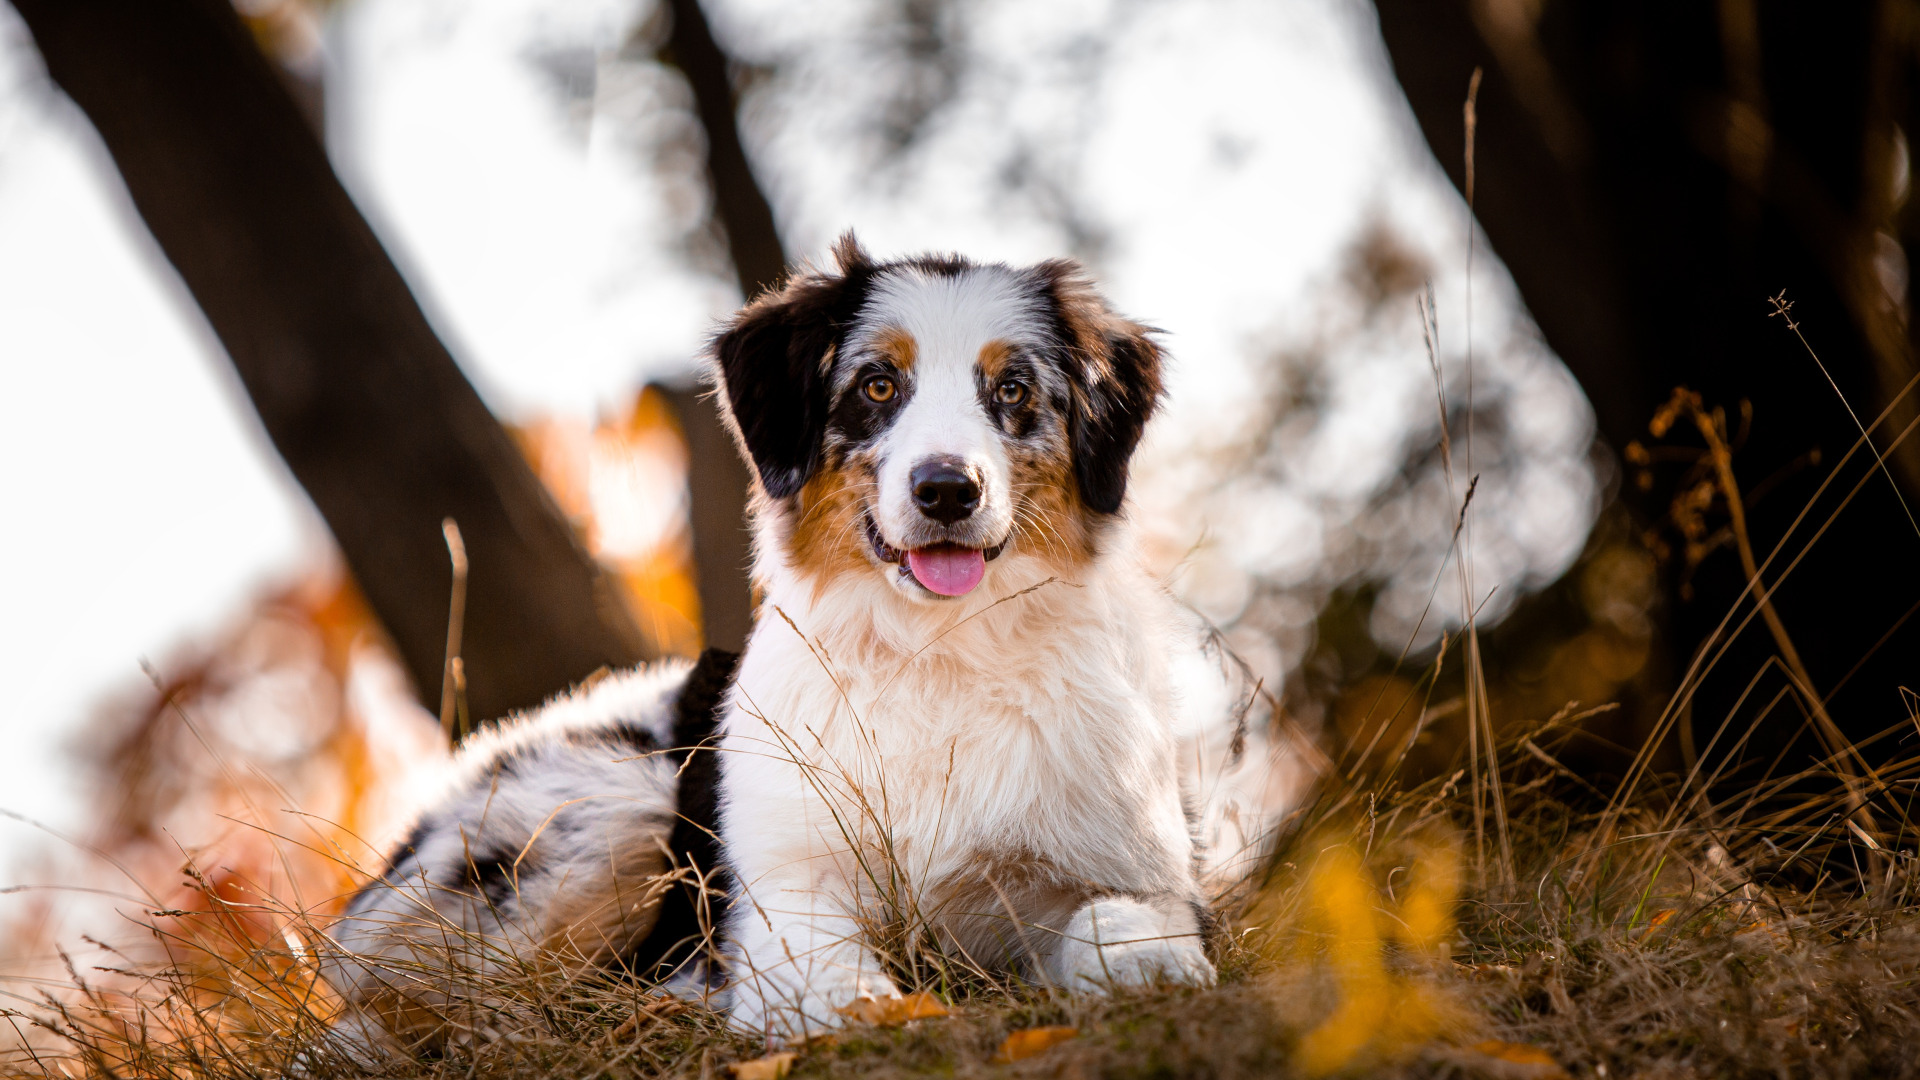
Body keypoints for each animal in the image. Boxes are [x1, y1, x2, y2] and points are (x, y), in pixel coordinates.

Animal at [322, 237, 1297, 1053]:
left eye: (1014, 390)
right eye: (877, 386)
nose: (948, 489)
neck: (937, 654)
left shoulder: (1136, 866)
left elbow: (1127, 924)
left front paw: (1150, 966)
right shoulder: (782, 895)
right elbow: (829, 979)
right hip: (605, 814)